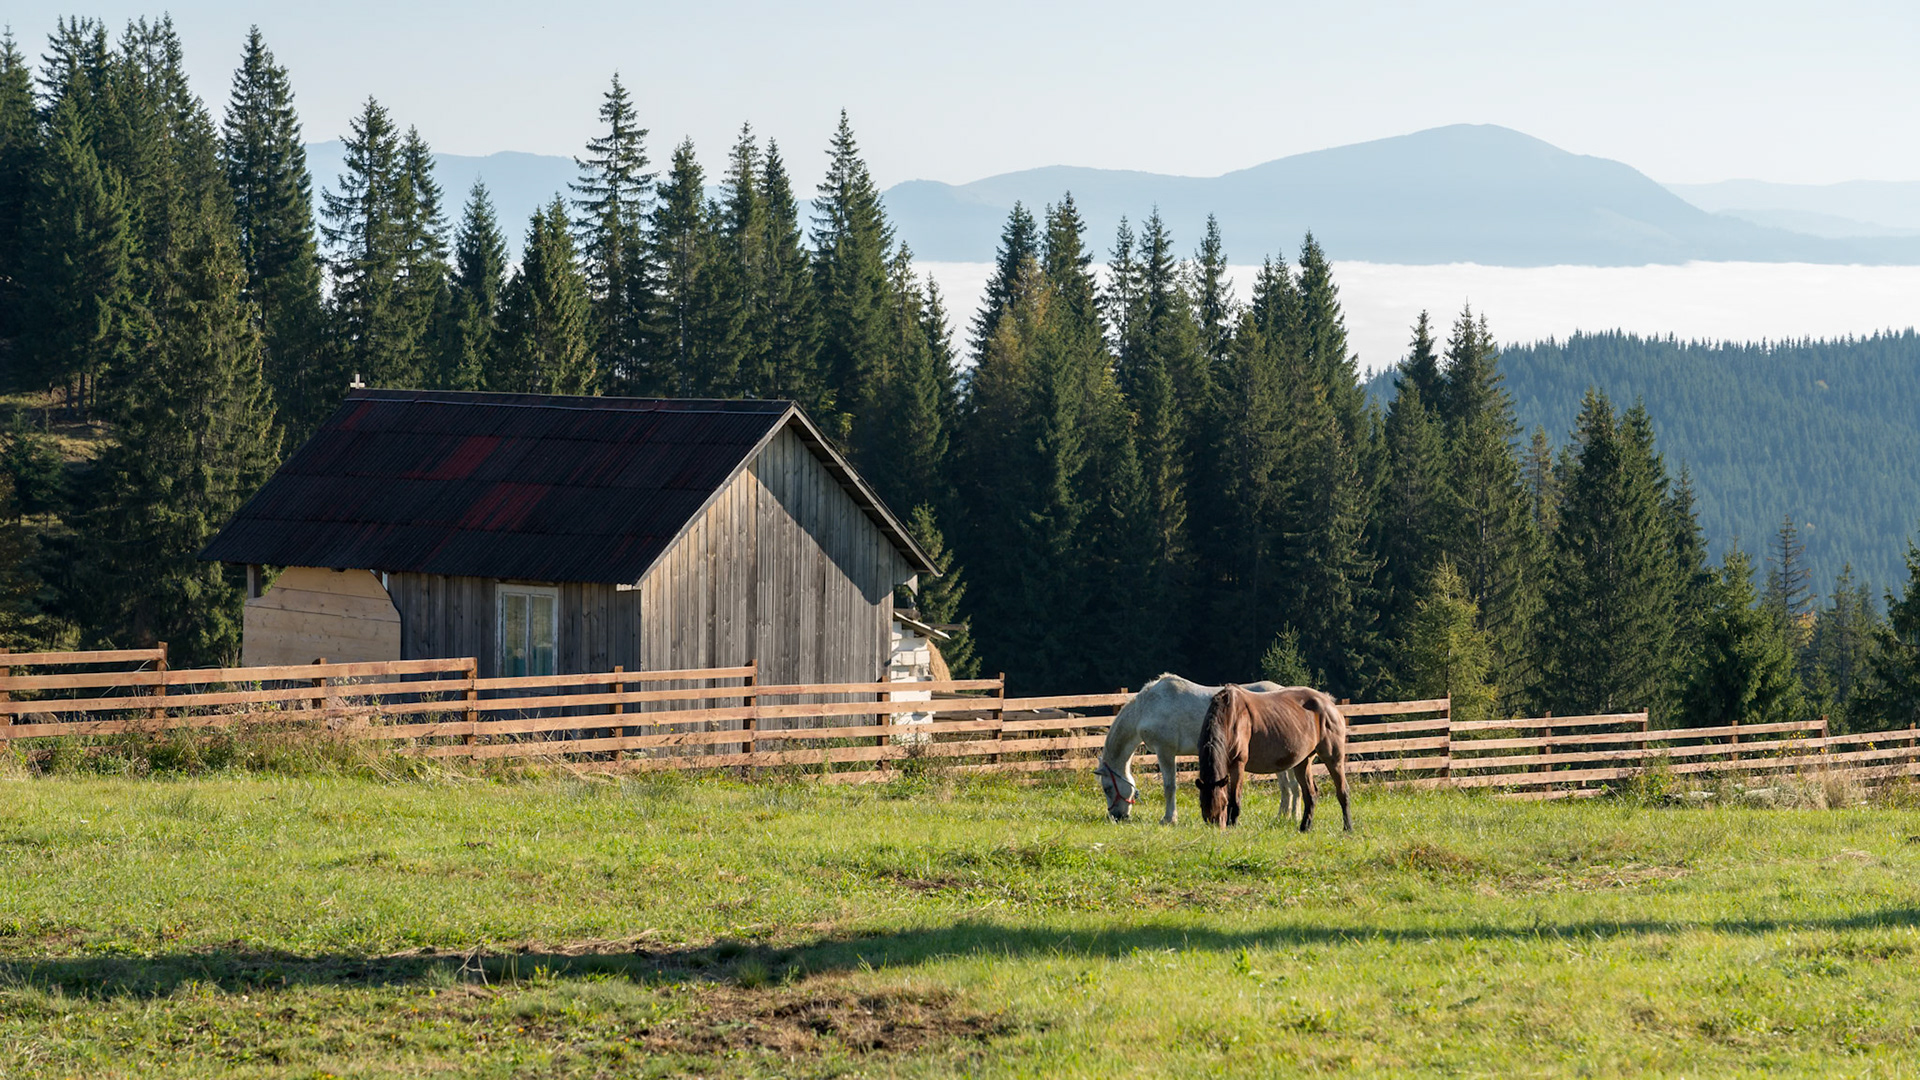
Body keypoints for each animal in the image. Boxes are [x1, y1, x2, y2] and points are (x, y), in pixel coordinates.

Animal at [1095, 674, 1300, 823]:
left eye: (1107, 788)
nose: (1116, 817)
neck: (1146, 708)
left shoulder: (1165, 751)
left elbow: (1169, 787)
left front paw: (1169, 819)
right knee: (1289, 787)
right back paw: (1286, 816)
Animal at [1197, 684, 1352, 832]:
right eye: (1201, 805)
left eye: (1223, 804)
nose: (1216, 827)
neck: (1230, 716)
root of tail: (1329, 703)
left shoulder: (1238, 764)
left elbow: (1235, 798)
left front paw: (1232, 825)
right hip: (1303, 762)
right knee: (1311, 794)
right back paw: (1305, 827)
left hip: (1333, 758)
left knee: (1343, 791)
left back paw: (1348, 827)